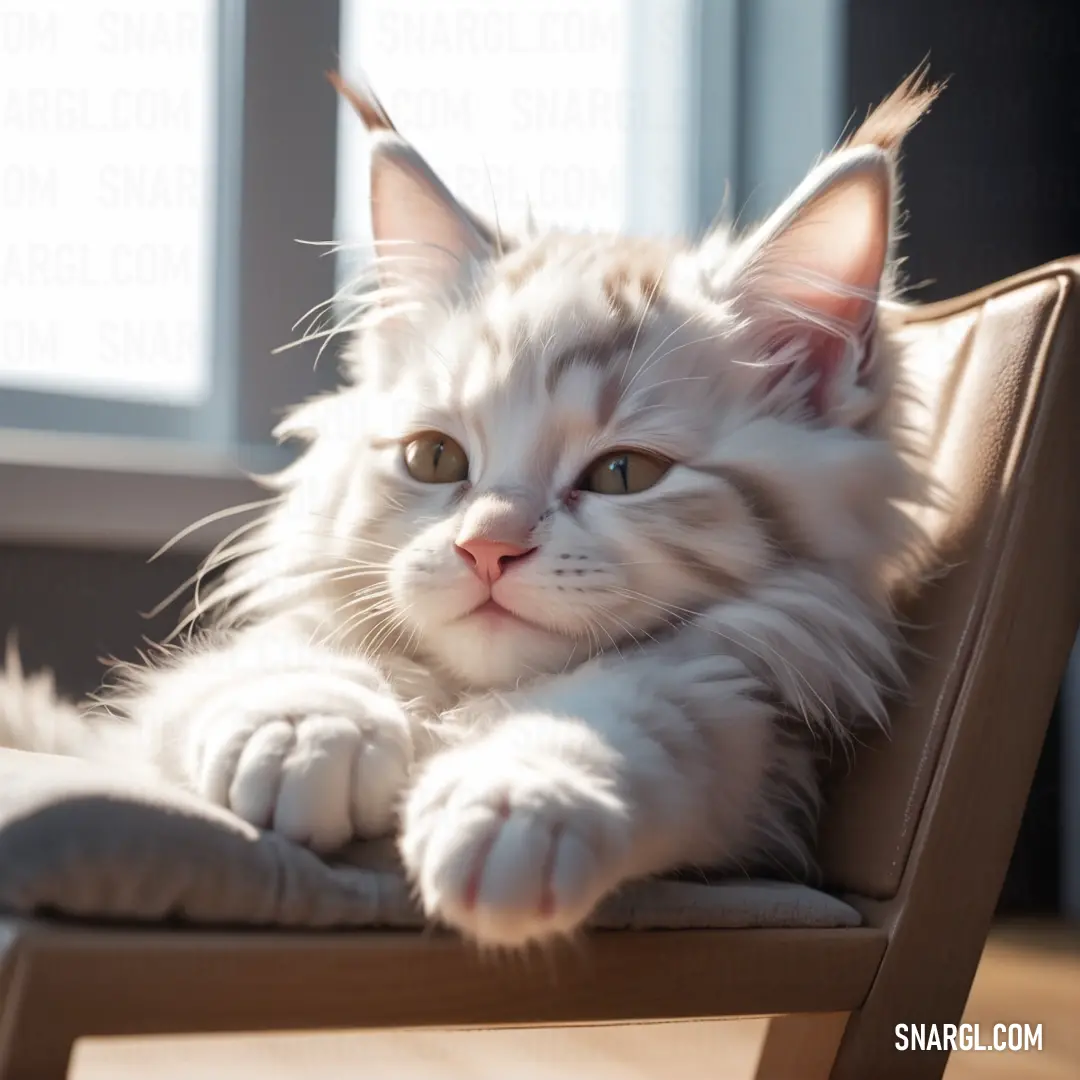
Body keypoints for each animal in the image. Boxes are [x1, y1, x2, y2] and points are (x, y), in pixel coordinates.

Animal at [0, 71, 937, 946]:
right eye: (435, 459)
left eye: (625, 473)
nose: (487, 547)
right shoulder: (163, 708)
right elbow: (285, 662)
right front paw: (304, 733)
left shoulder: (746, 746)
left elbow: (625, 712)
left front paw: (518, 800)